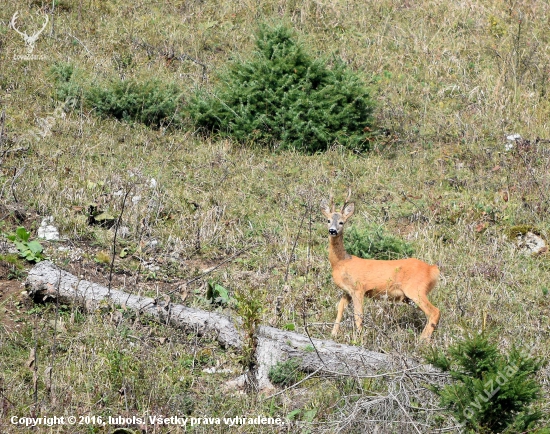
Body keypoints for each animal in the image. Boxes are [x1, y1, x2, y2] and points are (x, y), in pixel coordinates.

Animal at [322, 192, 442, 340]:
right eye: (328, 220)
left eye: (341, 222)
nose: (332, 231)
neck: (341, 262)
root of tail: (432, 269)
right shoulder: (347, 291)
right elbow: (340, 308)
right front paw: (333, 333)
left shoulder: (358, 288)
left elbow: (358, 315)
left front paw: (359, 338)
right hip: (411, 296)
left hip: (416, 289)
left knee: (434, 311)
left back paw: (422, 340)